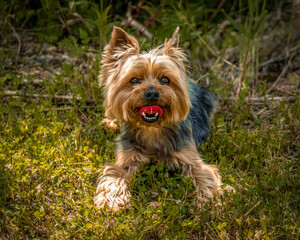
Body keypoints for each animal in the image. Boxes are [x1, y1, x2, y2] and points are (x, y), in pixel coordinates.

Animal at [95, 25, 226, 211]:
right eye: (134, 80)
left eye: (165, 79)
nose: (152, 93)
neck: (152, 129)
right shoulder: (126, 160)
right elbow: (114, 176)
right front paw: (111, 200)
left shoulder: (191, 159)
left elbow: (204, 176)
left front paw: (210, 203)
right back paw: (109, 123)